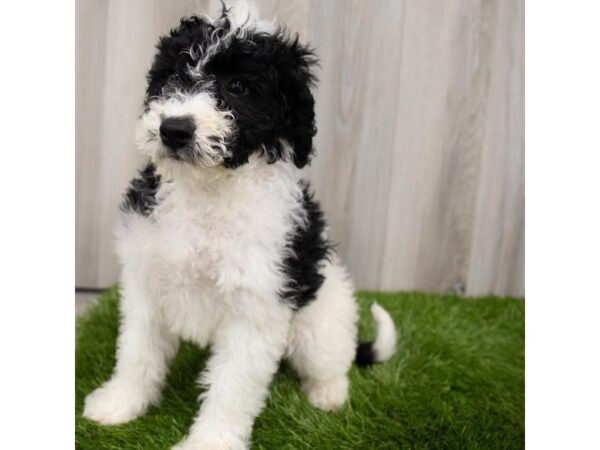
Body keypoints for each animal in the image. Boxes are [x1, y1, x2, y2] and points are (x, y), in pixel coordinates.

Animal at [82, 1, 396, 448]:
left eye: (237, 87)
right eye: (173, 75)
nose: (173, 129)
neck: (209, 190)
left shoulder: (256, 310)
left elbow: (231, 387)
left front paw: (209, 441)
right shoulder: (145, 283)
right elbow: (137, 352)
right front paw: (120, 402)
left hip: (320, 319)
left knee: (331, 360)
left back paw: (328, 395)